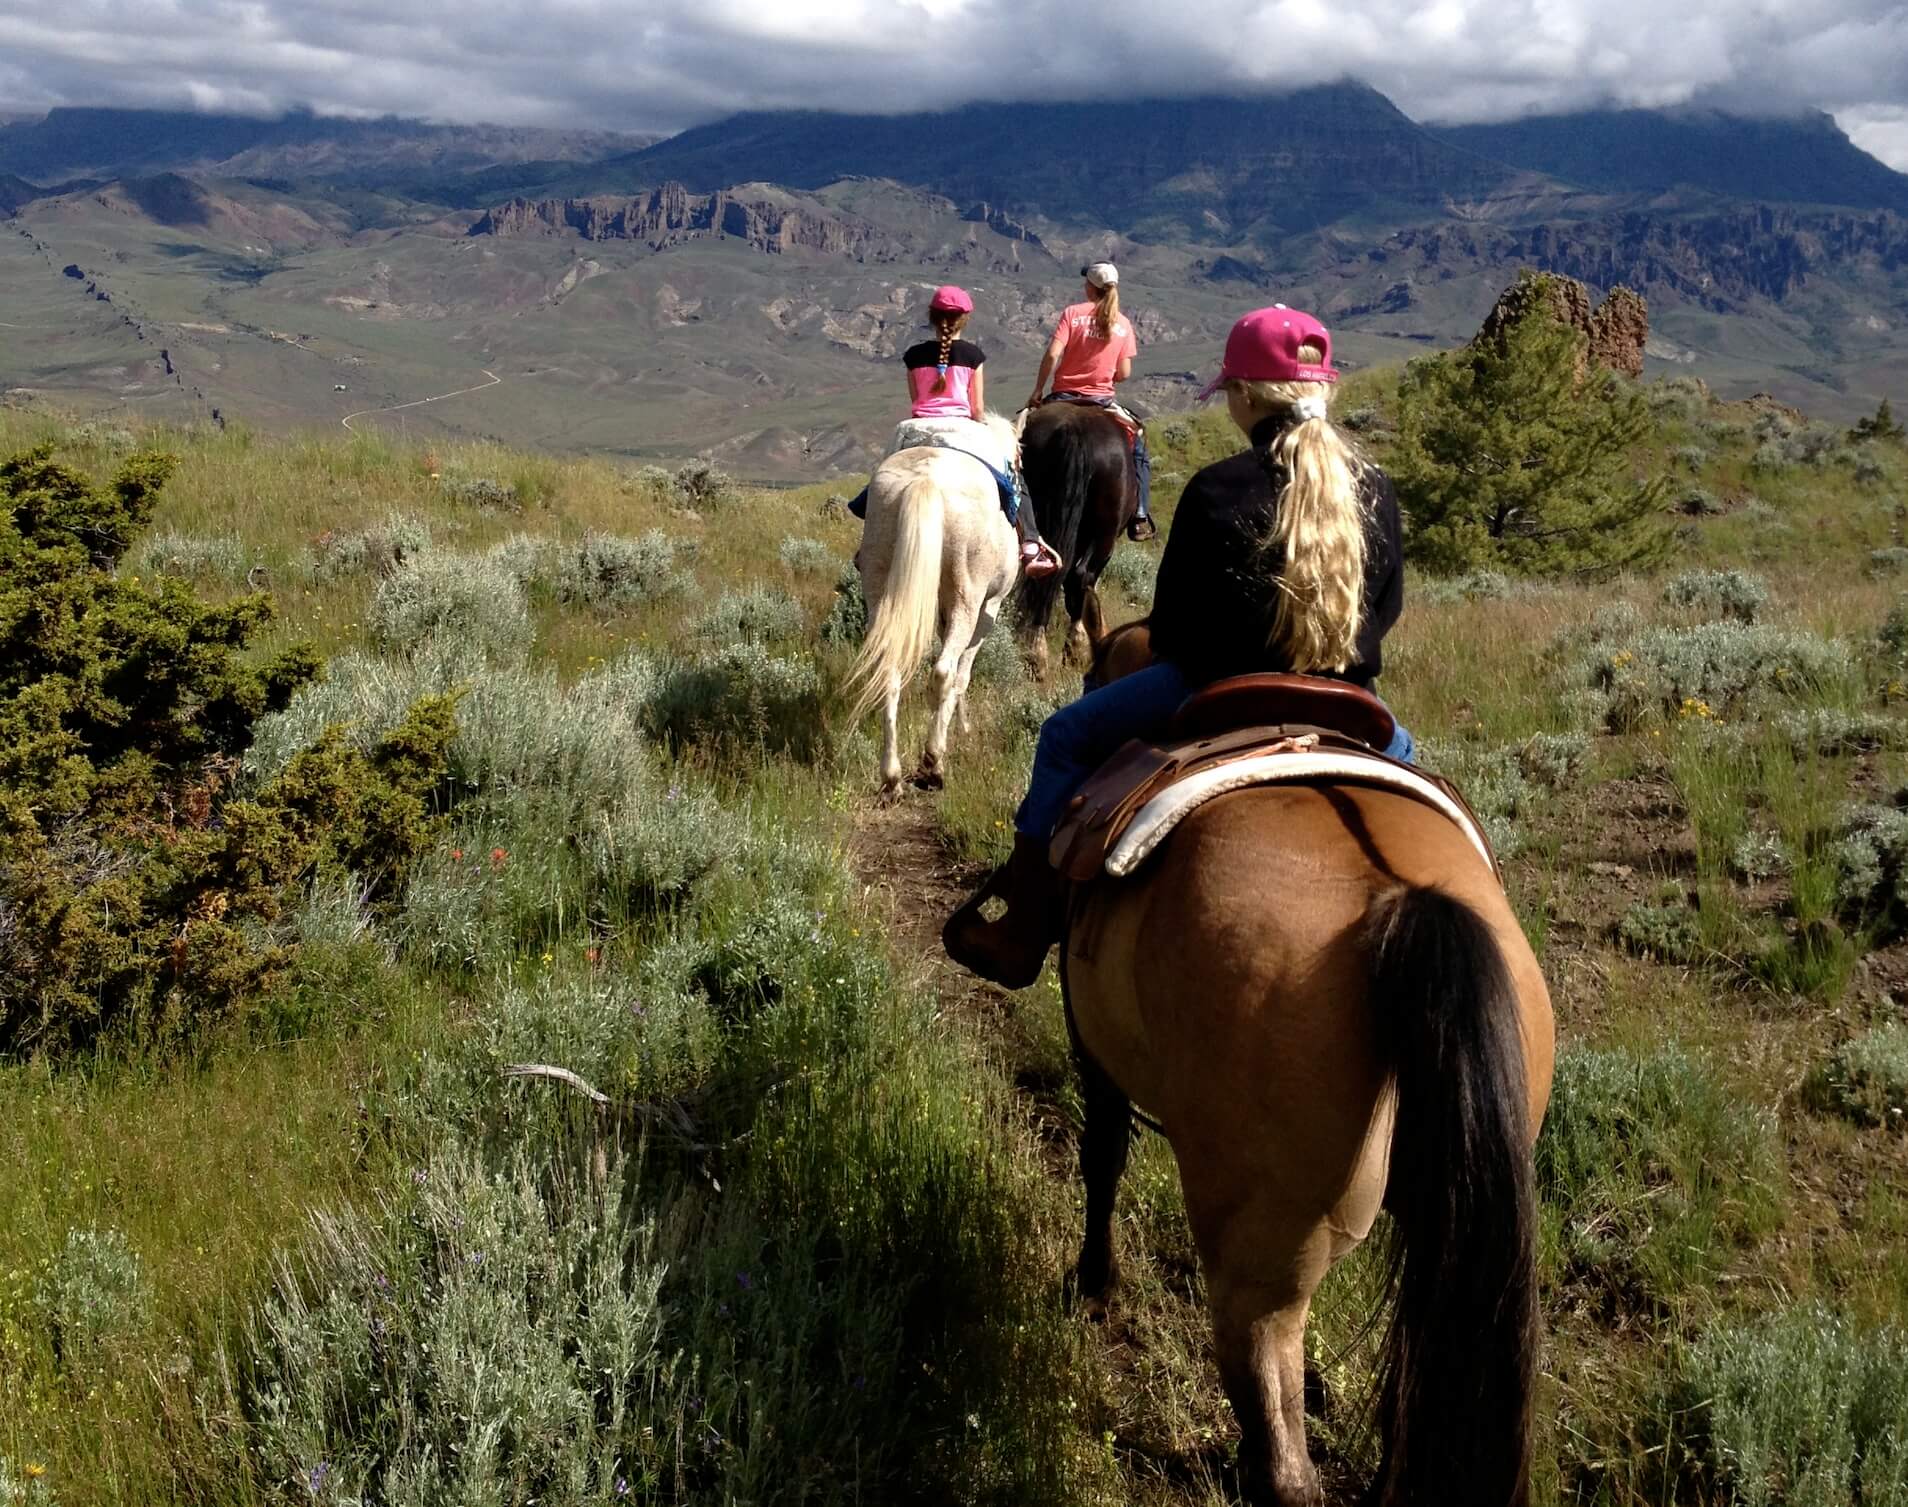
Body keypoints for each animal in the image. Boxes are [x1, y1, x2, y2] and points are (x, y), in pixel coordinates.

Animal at [847, 406, 1022, 797]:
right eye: (1019, 461)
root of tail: (924, 480)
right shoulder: (988, 609)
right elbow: (962, 673)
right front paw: (960, 727)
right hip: (967, 599)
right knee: (943, 672)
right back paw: (932, 763)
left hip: (880, 591)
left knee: (890, 671)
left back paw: (892, 776)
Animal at [1068, 618, 1556, 1503]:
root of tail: (1404, 908)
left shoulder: (1093, 1046)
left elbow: (1103, 1156)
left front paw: (1092, 1285)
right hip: (1437, 1238)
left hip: (1262, 1264)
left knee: (1282, 1452)